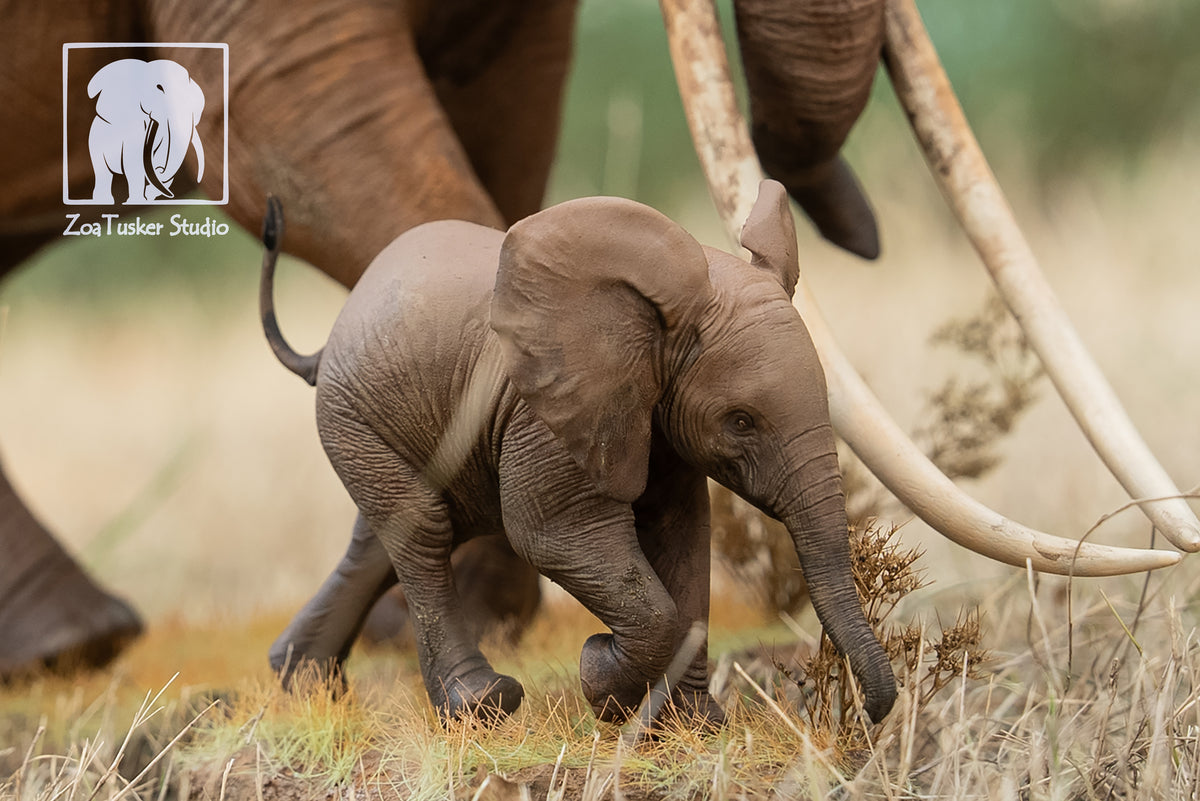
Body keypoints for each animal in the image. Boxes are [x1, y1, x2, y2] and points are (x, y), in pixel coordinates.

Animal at [258, 180, 898, 725]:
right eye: (740, 422)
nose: (868, 713)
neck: (655, 320)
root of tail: (331, 337)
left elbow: (683, 537)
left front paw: (693, 724)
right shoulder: (546, 413)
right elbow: (552, 535)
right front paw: (601, 680)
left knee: (385, 538)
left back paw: (303, 683)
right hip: (352, 413)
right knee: (423, 530)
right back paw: (480, 705)